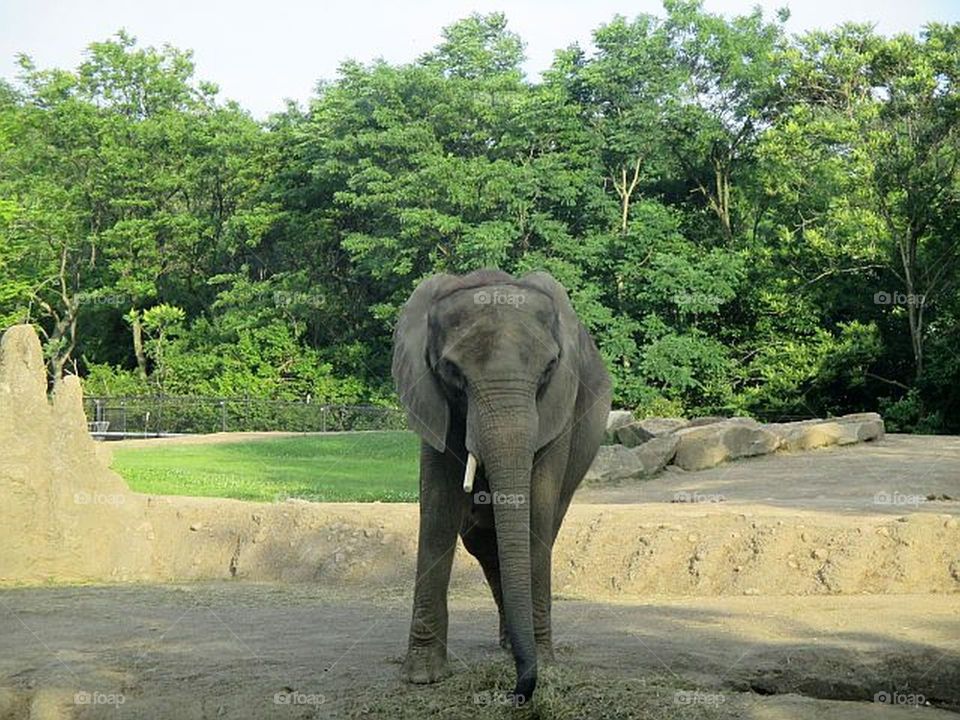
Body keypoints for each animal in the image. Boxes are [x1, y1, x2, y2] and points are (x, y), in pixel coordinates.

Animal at [392, 269, 611, 704]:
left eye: (549, 368)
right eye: (452, 371)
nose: (517, 693)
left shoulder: (559, 405)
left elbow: (537, 512)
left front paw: (543, 663)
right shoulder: (433, 402)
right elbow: (439, 511)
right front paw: (423, 676)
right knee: (482, 539)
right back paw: (511, 644)